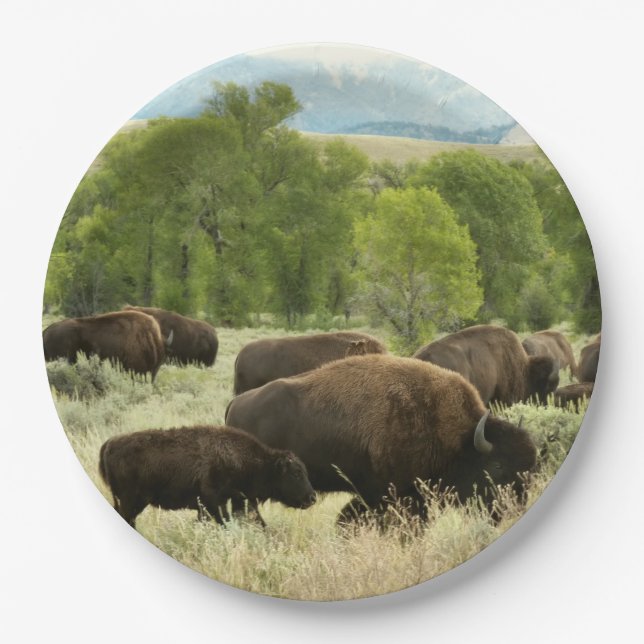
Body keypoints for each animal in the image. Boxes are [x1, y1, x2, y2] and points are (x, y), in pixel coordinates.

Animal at [98, 425, 316, 528]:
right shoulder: (213, 501)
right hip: (131, 500)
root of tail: (110, 444)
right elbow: (224, 522)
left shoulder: (221, 503)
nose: (312, 497)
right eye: (296, 473)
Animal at [225, 354, 537, 522]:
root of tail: (236, 403)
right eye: (497, 466)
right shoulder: (394, 493)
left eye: (530, 466)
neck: (461, 439)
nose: (514, 509)